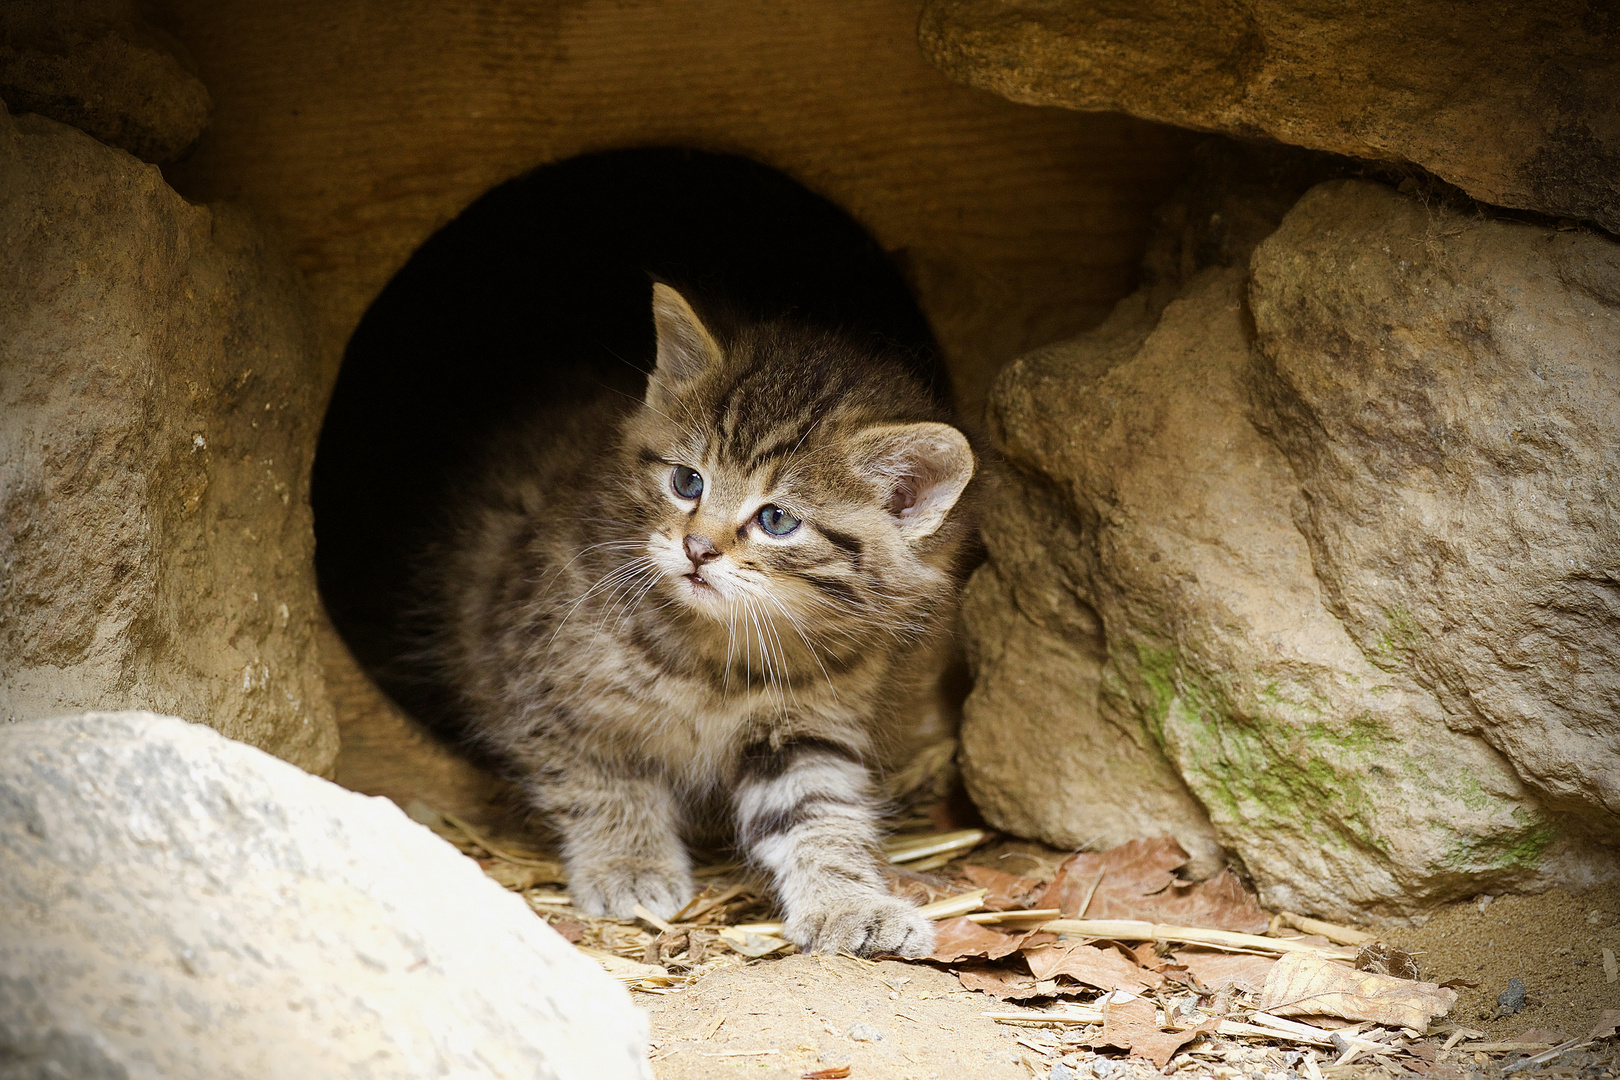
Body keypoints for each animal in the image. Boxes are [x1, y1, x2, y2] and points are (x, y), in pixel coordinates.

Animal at [421, 284, 972, 952]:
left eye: (777, 520)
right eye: (688, 481)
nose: (697, 547)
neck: (718, 654)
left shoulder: (808, 722)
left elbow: (817, 810)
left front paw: (850, 902)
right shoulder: (539, 681)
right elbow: (599, 779)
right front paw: (629, 862)